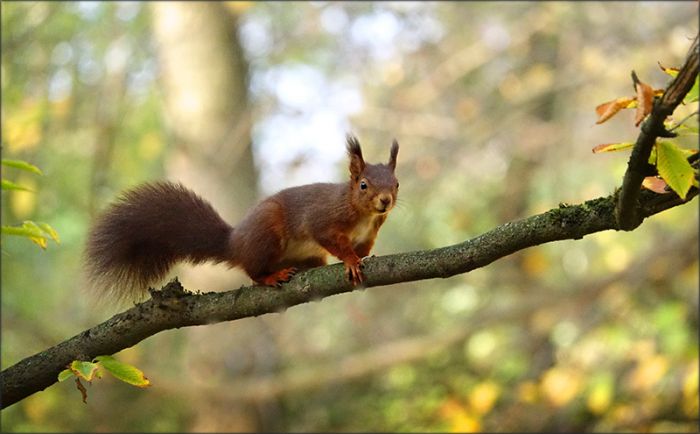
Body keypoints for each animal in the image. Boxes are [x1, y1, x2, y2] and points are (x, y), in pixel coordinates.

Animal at [84, 135, 399, 301]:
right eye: (363, 185)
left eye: (396, 184)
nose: (385, 201)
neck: (364, 215)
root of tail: (235, 243)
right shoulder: (323, 219)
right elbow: (330, 238)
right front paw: (350, 261)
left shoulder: (370, 232)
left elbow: (363, 247)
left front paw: (363, 257)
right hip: (267, 234)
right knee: (253, 273)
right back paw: (272, 276)